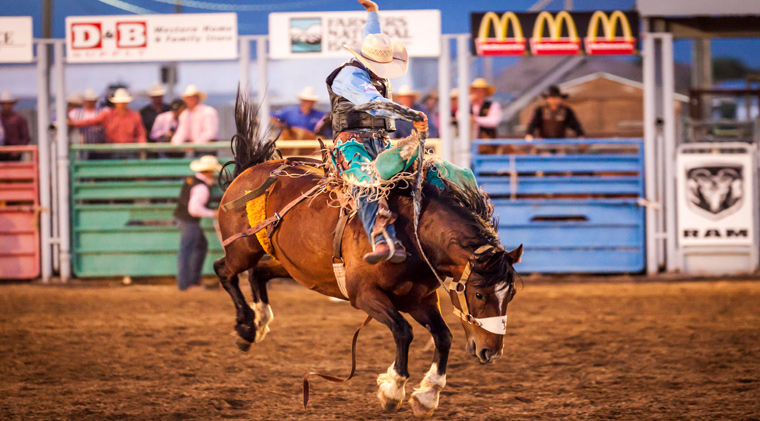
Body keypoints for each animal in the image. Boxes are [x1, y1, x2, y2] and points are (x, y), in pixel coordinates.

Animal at [214, 92, 524, 416]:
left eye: (511, 295)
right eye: (478, 294)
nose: (491, 351)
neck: (413, 235)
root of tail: (250, 170)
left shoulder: (419, 298)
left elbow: (443, 336)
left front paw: (427, 395)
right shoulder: (364, 295)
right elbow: (403, 331)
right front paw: (392, 389)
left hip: (292, 265)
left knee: (258, 273)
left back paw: (258, 323)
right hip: (242, 249)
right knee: (224, 270)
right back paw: (245, 326)